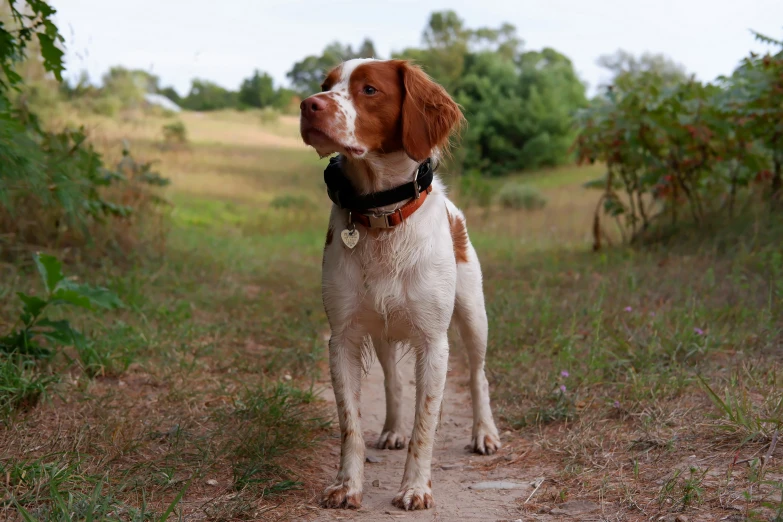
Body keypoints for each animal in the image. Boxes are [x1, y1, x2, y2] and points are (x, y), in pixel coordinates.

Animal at [300, 58, 502, 508]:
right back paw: (393, 429)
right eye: (326, 84)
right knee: (393, 381)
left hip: (473, 315)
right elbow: (350, 423)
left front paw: (415, 488)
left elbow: (425, 424)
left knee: (478, 375)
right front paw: (347, 485)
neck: (381, 218)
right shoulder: (343, 337)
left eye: (370, 90)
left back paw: (484, 433)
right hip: (383, 331)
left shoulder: (433, 340)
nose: (308, 105)